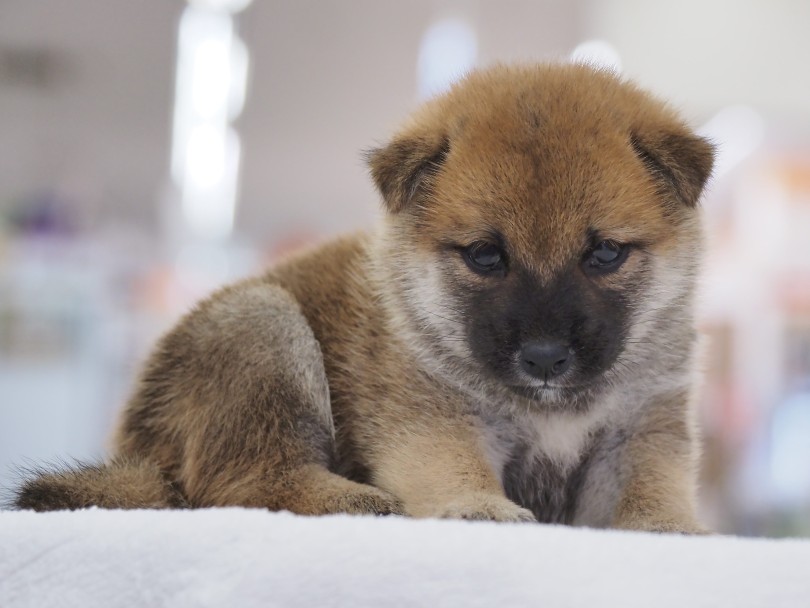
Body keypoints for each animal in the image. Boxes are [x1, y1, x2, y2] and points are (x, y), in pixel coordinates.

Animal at [15, 65, 712, 532]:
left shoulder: (640, 431)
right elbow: (453, 468)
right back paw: (353, 500)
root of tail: (134, 454)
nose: (544, 358)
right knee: (243, 481)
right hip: (263, 330)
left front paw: (676, 529)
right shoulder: (433, 418)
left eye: (606, 254)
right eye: (486, 256)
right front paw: (478, 507)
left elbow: (652, 492)